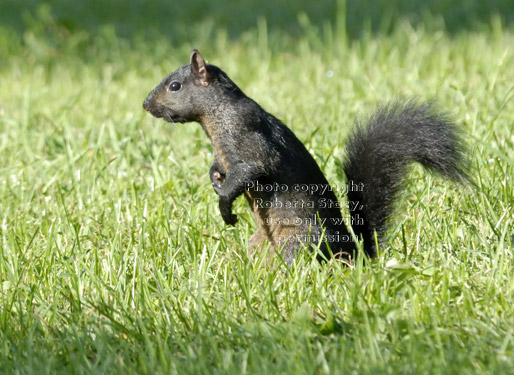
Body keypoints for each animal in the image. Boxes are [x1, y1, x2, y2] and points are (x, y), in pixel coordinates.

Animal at [141, 50, 468, 266]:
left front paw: (225, 205)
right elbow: (220, 168)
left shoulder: (246, 134)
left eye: (174, 86)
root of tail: (354, 254)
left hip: (297, 240)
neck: (214, 118)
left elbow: (250, 170)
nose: (145, 105)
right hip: (262, 243)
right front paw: (215, 179)